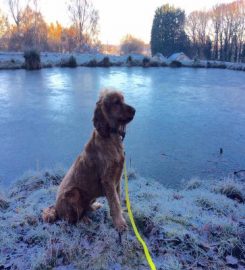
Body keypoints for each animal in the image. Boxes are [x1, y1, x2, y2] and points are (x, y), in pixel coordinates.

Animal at [41, 89, 135, 232]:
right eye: (116, 102)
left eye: (123, 100)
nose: (135, 110)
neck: (110, 137)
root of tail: (56, 209)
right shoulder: (108, 180)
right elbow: (114, 203)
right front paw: (120, 223)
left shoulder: (117, 179)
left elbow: (117, 199)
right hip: (74, 193)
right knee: (72, 219)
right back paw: (84, 221)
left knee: (85, 208)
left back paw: (94, 206)